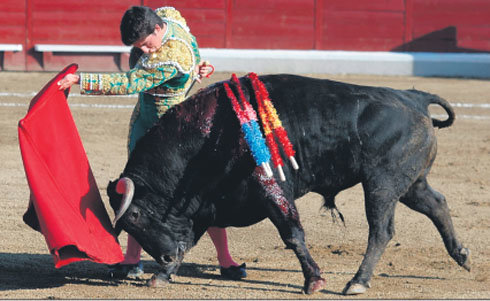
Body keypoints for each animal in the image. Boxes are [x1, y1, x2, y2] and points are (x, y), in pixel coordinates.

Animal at [108, 74, 470, 294]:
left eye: (136, 216)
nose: (164, 257)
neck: (206, 137)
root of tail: (413, 97)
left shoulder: (271, 188)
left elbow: (292, 234)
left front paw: (314, 280)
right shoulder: (204, 206)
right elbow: (192, 239)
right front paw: (162, 275)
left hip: (381, 184)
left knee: (381, 230)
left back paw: (357, 282)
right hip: (409, 183)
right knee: (436, 202)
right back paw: (462, 255)